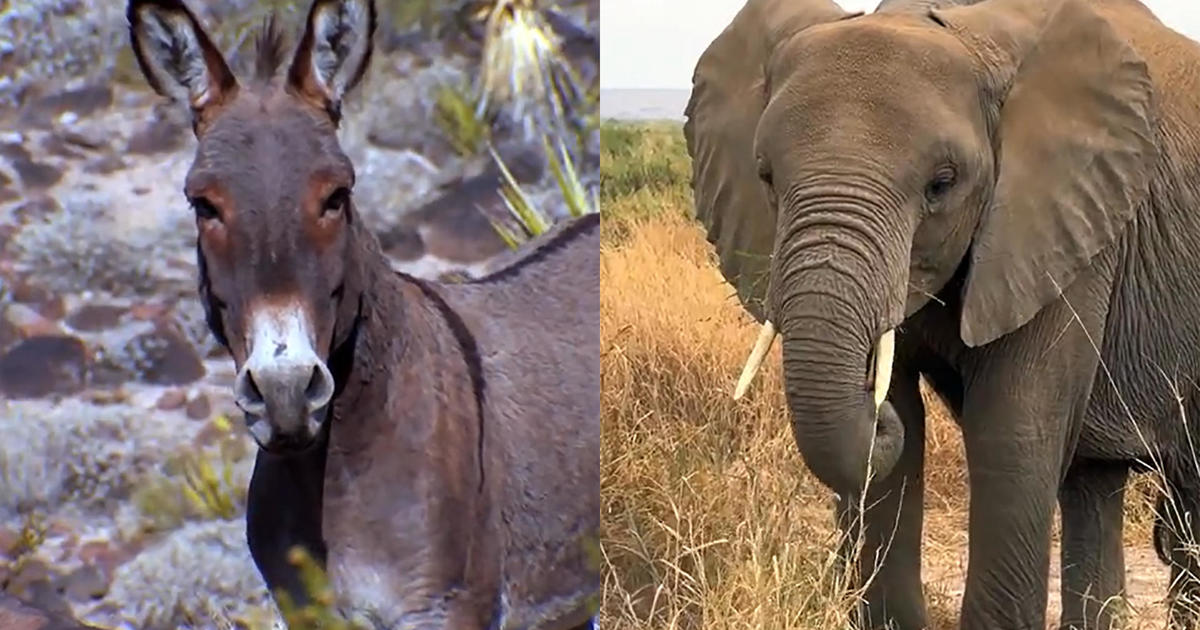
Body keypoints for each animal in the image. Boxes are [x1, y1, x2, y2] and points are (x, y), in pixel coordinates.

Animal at [686, 0, 1200, 624]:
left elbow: (1011, 433)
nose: (873, 407)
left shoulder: (1068, 230)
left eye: (942, 184)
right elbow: (898, 456)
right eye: (765, 177)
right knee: (1094, 486)